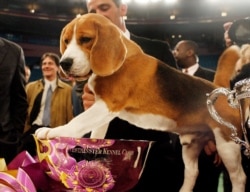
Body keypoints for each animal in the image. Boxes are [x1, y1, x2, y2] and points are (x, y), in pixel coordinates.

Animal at [35, 13, 246, 192]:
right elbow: (96, 133)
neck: (124, 59)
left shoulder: (107, 104)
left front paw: (55, 131)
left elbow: (78, 121)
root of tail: (219, 90)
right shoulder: (103, 109)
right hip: (190, 145)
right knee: (193, 172)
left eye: (85, 39)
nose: (64, 63)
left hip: (227, 145)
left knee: (239, 177)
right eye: (66, 41)